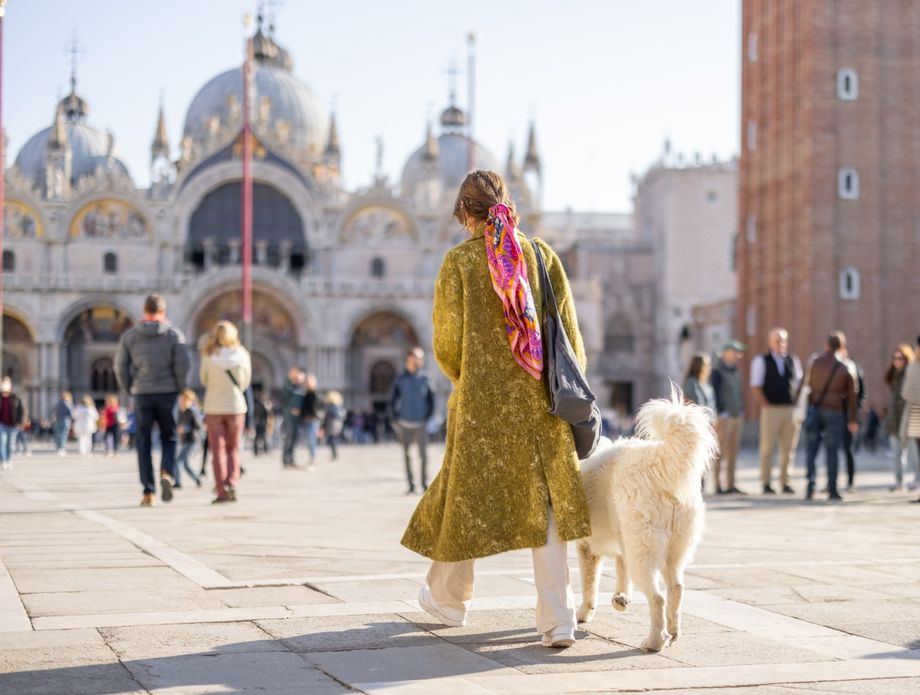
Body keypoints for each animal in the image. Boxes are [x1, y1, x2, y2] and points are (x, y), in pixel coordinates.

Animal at [576, 386, 720, 652]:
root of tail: (656, 460)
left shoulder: (587, 548)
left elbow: (588, 585)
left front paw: (583, 613)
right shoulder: (621, 545)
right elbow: (621, 572)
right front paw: (620, 599)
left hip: (643, 551)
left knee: (657, 597)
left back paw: (653, 642)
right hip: (672, 549)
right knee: (676, 588)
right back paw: (673, 632)